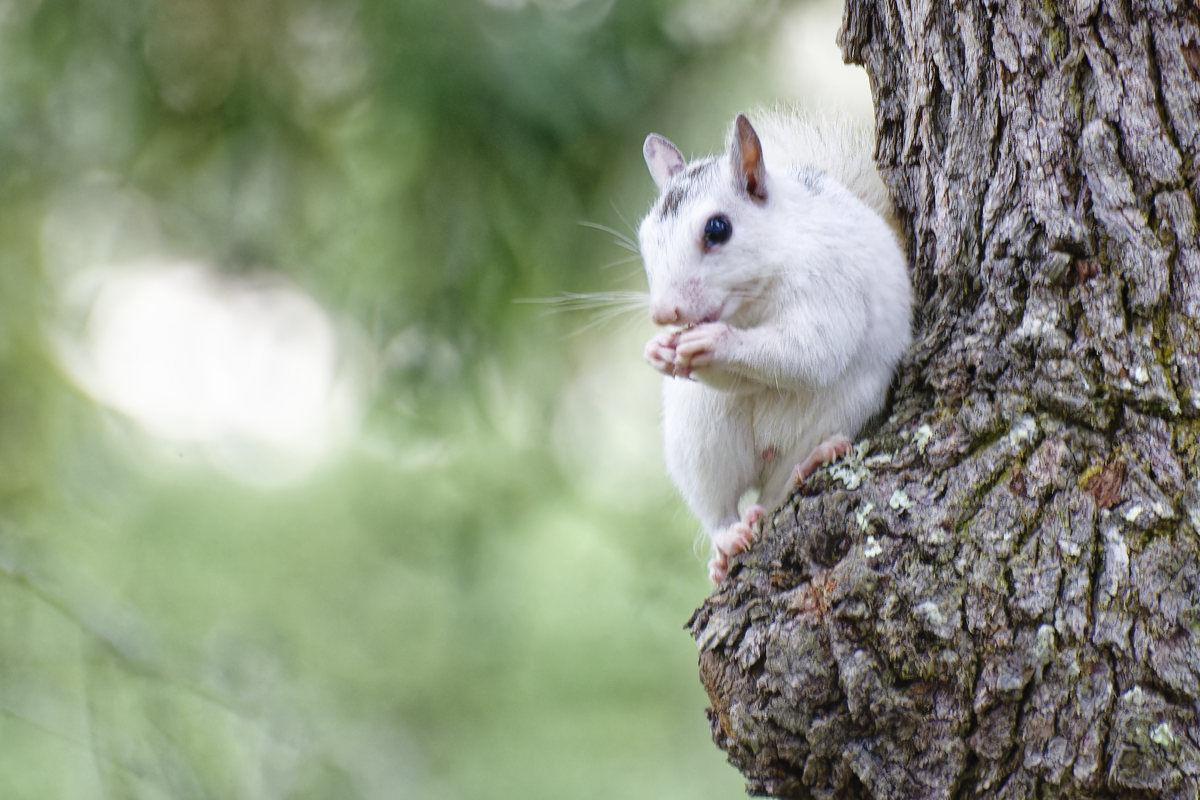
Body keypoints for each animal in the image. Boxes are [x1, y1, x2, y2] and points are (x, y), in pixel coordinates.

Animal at [637, 109, 913, 584]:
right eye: (644, 239)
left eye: (717, 228)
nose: (664, 313)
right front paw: (659, 350)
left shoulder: (831, 288)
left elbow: (807, 350)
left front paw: (716, 341)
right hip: (701, 435)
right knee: (718, 507)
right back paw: (728, 542)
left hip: (841, 410)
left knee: (776, 491)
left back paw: (813, 461)